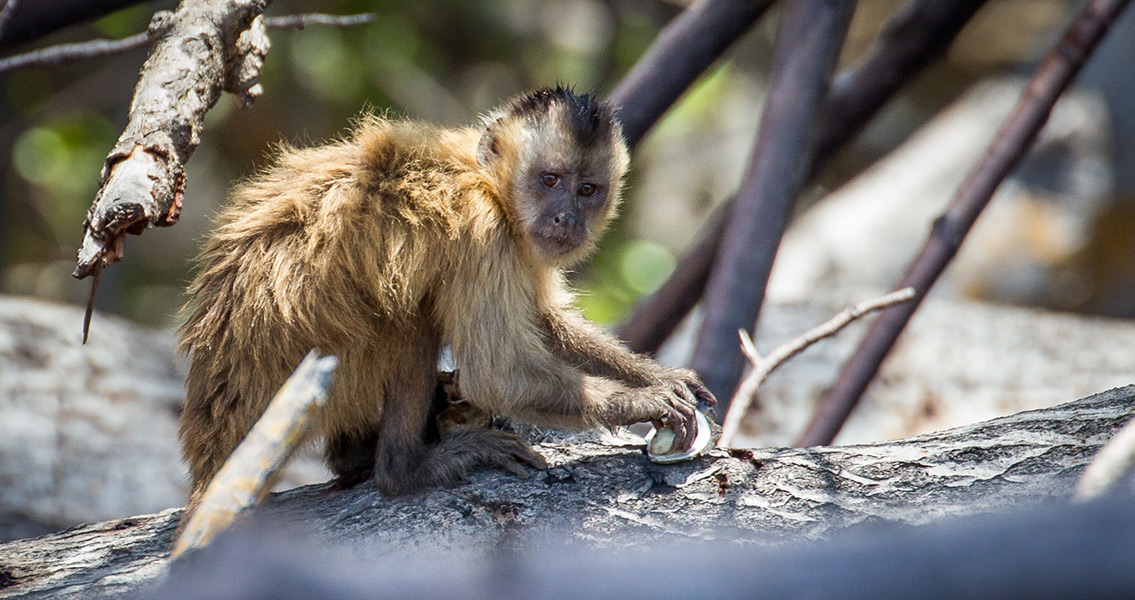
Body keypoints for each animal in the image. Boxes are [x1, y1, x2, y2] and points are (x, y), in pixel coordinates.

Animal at [178, 86, 712, 499]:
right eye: (550, 180)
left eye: (587, 190)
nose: (566, 218)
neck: (487, 181)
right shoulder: (484, 228)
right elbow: (497, 374)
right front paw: (641, 402)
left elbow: (542, 322)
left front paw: (656, 376)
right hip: (307, 386)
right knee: (410, 320)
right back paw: (402, 469)